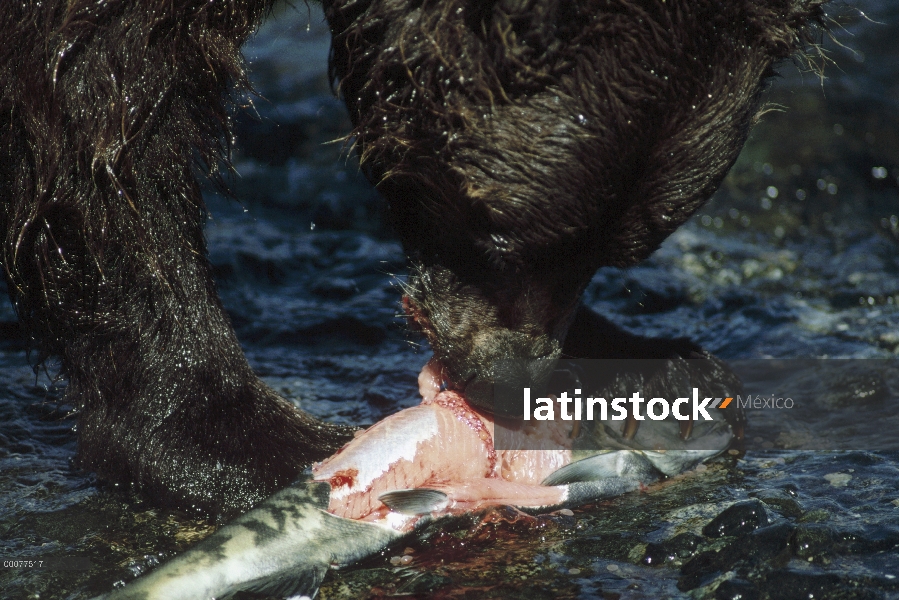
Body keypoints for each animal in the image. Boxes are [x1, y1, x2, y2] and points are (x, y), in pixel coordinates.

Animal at [0, 0, 828, 516]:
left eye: (625, 245)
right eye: (499, 230)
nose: (511, 379)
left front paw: (641, 364)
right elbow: (103, 110)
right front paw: (246, 438)